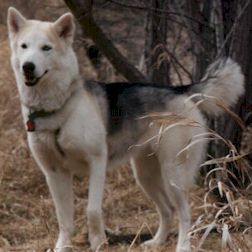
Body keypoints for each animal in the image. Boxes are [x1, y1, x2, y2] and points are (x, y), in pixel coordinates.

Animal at [7, 6, 244, 252]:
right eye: (24, 46)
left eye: (46, 48)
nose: (28, 67)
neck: (58, 108)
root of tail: (180, 90)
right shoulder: (54, 173)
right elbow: (64, 219)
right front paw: (62, 247)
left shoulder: (97, 163)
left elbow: (92, 211)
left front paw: (98, 243)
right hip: (145, 175)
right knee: (167, 210)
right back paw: (157, 242)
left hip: (173, 174)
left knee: (185, 213)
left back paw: (183, 246)